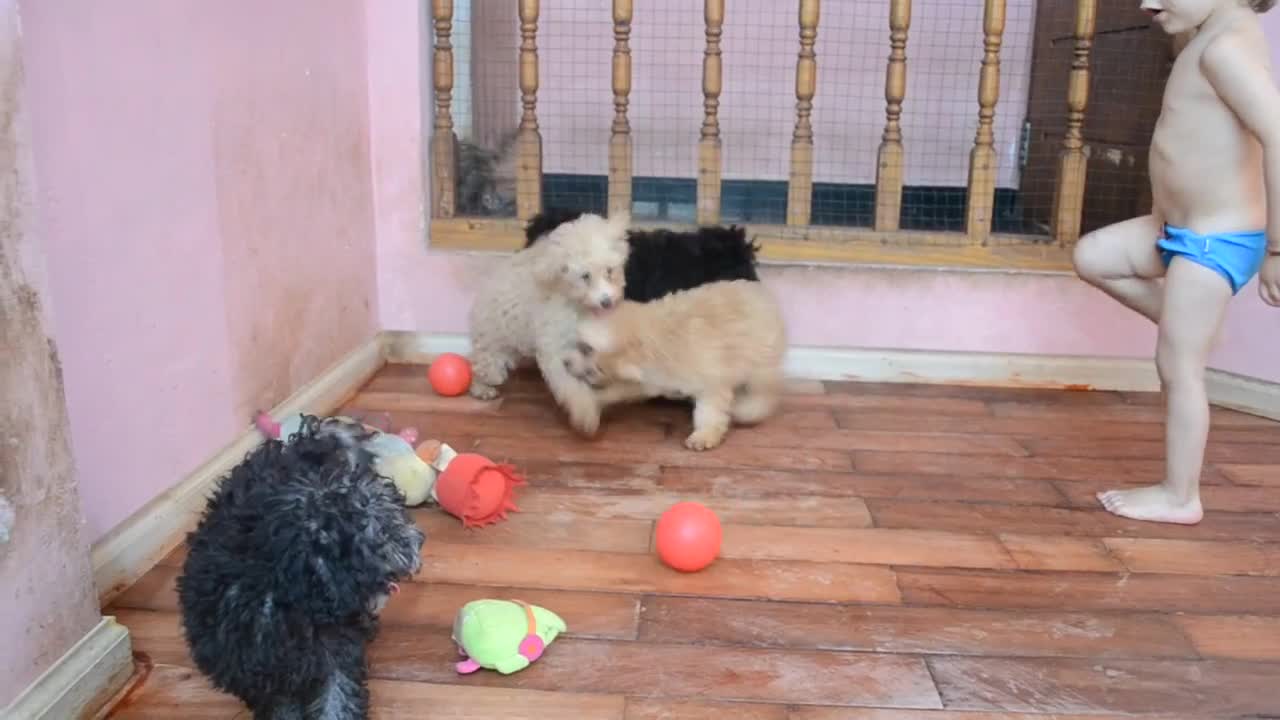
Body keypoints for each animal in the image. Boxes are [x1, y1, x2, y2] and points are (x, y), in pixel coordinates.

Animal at [565, 275, 783, 448]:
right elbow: (612, 393)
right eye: (580, 345)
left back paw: (748, 409)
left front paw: (704, 436)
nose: (565, 362)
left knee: (764, 393)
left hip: (761, 363)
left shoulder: (711, 382)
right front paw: (584, 407)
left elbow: (709, 412)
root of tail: (762, 294)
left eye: (587, 351)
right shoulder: (645, 381)